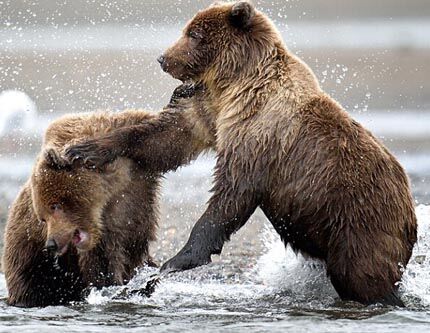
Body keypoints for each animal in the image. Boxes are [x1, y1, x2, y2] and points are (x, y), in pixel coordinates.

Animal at [65, 1, 418, 306]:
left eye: (194, 34)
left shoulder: (257, 131)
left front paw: (176, 261)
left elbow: (232, 192)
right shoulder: (212, 110)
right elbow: (168, 138)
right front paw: (82, 149)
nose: (163, 58)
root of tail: (410, 209)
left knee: (361, 275)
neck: (237, 82)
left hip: (358, 220)